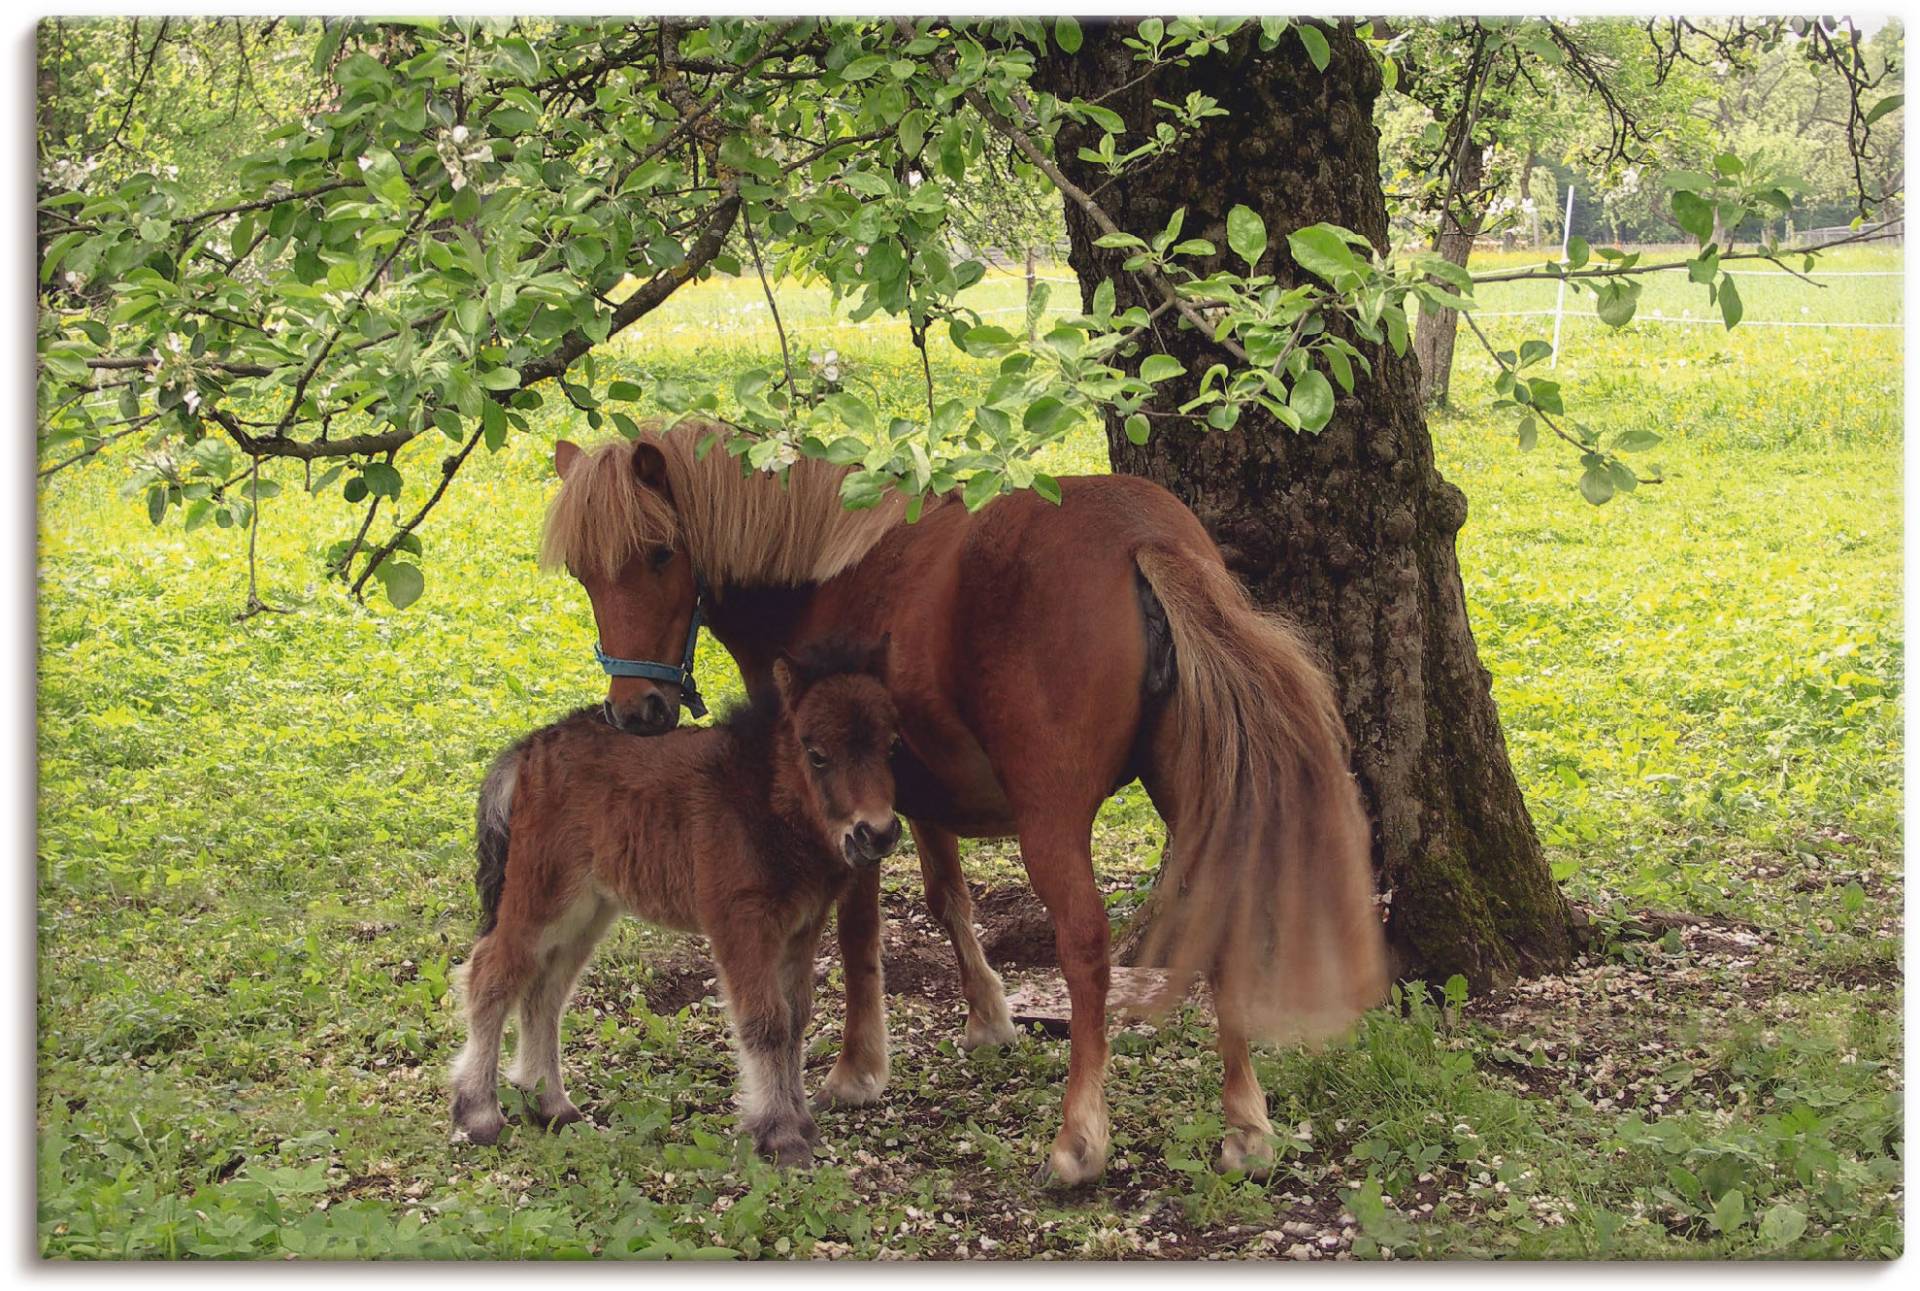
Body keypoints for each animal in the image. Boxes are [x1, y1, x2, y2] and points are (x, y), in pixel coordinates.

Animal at [449, 641, 898, 1168]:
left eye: (891, 747)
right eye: (818, 755)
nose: (877, 833)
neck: (762, 796)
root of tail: (530, 748)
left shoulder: (801, 928)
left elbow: (795, 1018)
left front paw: (802, 1124)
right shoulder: (740, 923)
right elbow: (766, 1021)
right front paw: (780, 1135)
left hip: (588, 910)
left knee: (546, 990)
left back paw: (552, 1106)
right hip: (542, 896)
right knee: (492, 974)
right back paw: (478, 1113)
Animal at [541, 428, 1382, 1183]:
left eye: (659, 553)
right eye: (582, 572)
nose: (636, 711)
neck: (821, 573)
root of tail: (1142, 536)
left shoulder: (848, 814)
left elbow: (858, 932)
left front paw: (857, 1066)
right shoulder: (915, 799)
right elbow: (948, 897)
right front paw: (987, 1016)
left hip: (1052, 820)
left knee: (1084, 947)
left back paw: (1079, 1140)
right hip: (1191, 793)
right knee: (1221, 915)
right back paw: (1246, 1128)